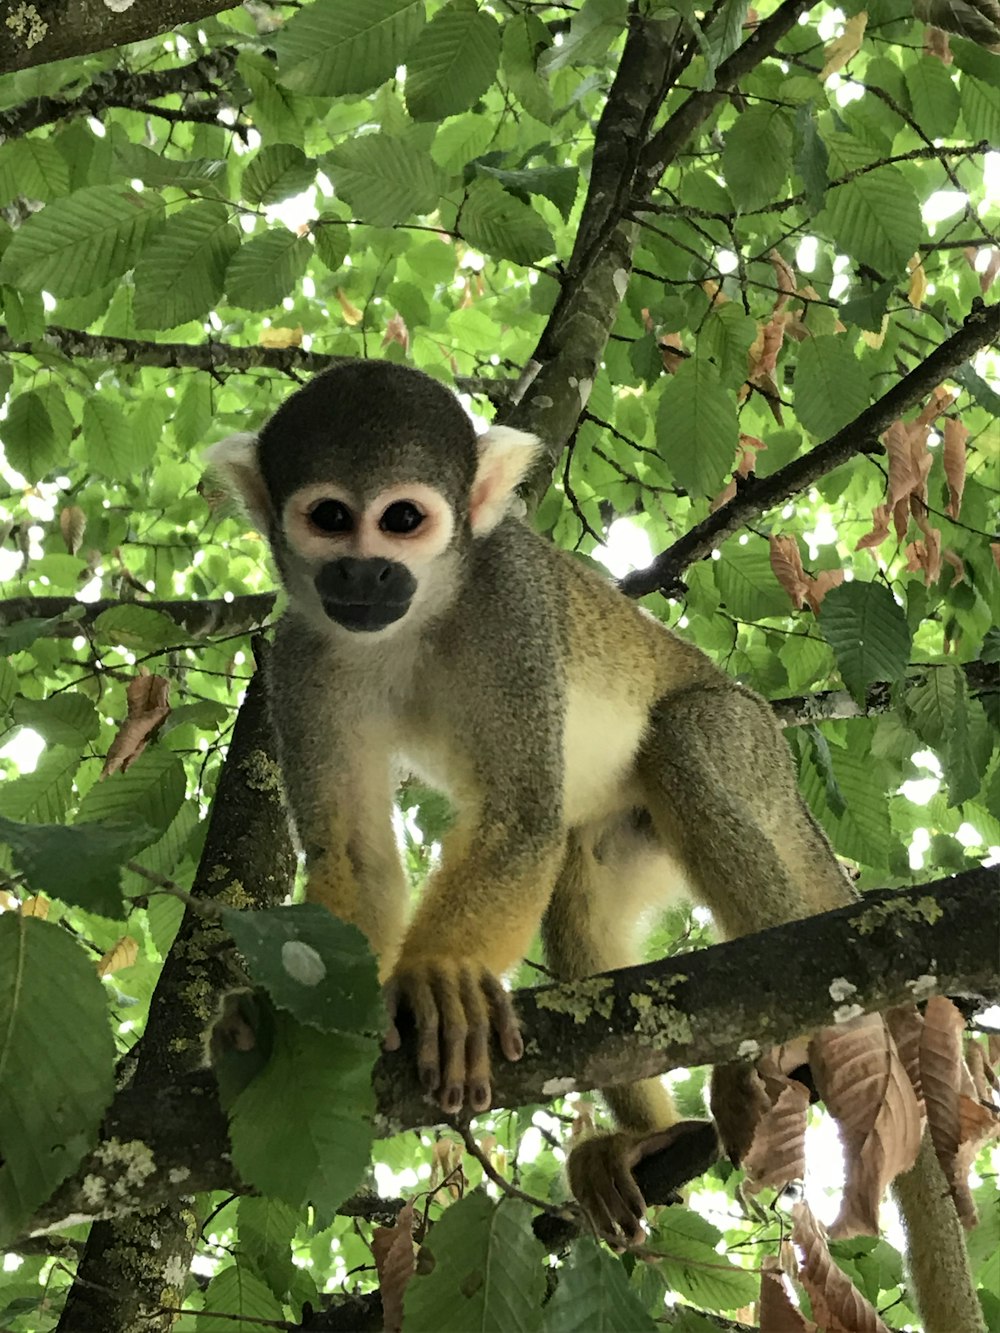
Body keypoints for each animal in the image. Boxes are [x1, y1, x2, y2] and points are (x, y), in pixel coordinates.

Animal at [205, 362, 864, 1237]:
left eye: (402, 519)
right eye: (330, 518)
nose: (364, 574)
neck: (418, 617)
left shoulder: (508, 607)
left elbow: (520, 816)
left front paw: (440, 976)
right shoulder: (300, 654)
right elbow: (356, 856)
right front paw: (275, 1018)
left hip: (745, 741)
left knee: (683, 747)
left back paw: (781, 1047)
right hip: (634, 832)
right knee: (581, 891)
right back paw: (652, 1141)